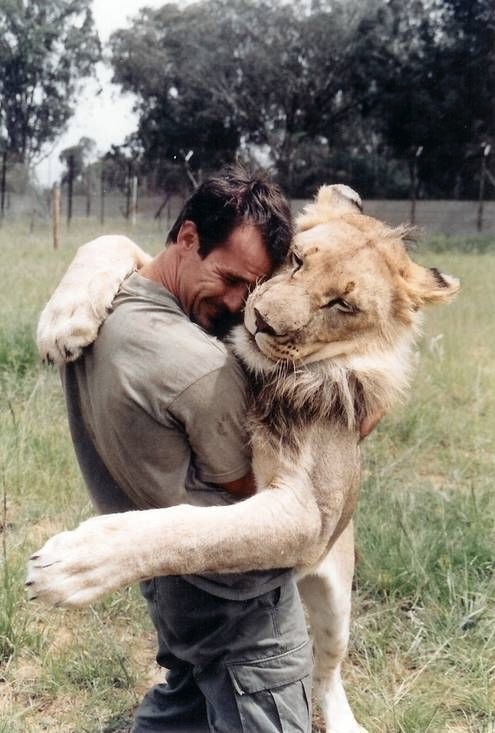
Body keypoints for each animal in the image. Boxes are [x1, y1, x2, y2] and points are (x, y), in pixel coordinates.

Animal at [27, 185, 459, 733]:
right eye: (296, 259)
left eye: (342, 303)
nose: (261, 322)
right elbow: (112, 239)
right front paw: (63, 324)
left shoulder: (307, 517)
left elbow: (197, 533)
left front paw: (75, 565)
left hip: (336, 590)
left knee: (325, 668)